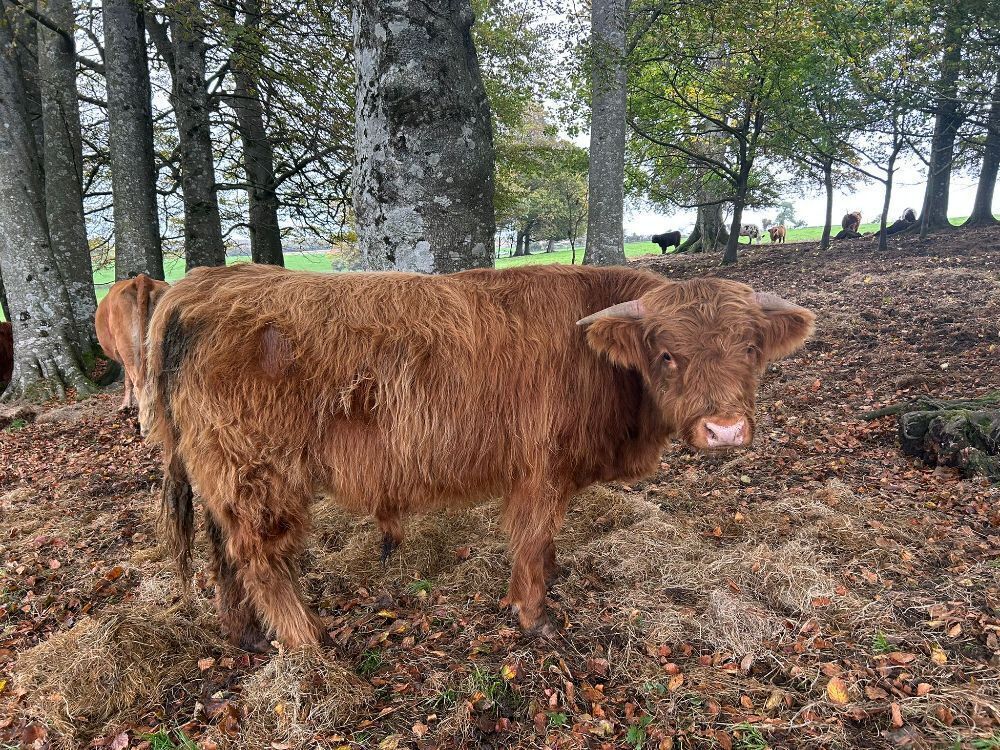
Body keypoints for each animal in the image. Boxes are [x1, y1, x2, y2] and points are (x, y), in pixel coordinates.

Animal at [142, 264, 814, 650]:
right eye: (667, 353)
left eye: (751, 347)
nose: (724, 429)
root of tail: (196, 285)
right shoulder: (541, 469)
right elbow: (532, 539)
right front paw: (533, 615)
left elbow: (545, 540)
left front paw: (550, 581)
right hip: (258, 472)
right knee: (258, 558)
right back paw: (310, 643)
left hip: (221, 477)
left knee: (223, 553)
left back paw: (245, 635)